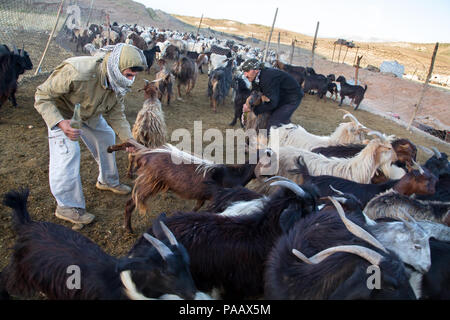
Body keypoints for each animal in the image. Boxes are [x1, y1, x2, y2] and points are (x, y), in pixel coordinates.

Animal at [0, 188, 197, 300]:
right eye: (166, 273)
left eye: (188, 264)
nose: (192, 293)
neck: (122, 285)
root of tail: (28, 224)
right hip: (21, 274)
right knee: (6, 279)